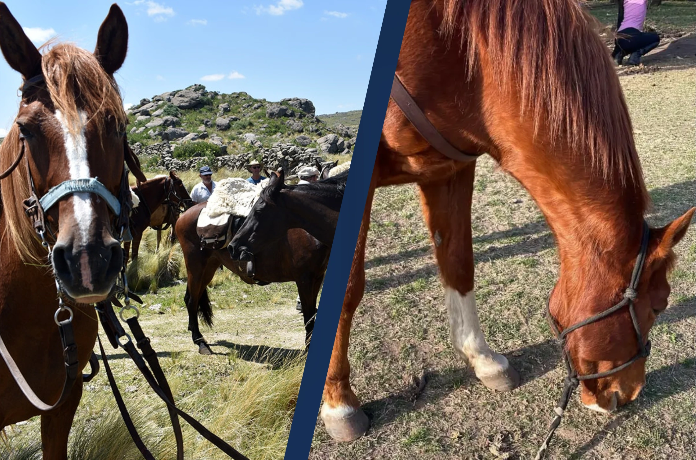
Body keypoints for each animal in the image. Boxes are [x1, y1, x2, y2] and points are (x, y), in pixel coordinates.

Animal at [175, 198, 330, 355]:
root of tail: (183, 215)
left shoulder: (317, 278)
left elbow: (312, 313)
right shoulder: (304, 280)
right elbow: (309, 315)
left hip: (208, 267)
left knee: (190, 298)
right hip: (196, 266)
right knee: (192, 301)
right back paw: (200, 342)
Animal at [319, 0, 695, 443]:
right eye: (658, 305)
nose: (629, 393)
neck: (462, 57)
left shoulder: (447, 168)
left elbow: (459, 263)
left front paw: (481, 358)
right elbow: (346, 287)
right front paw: (339, 401)